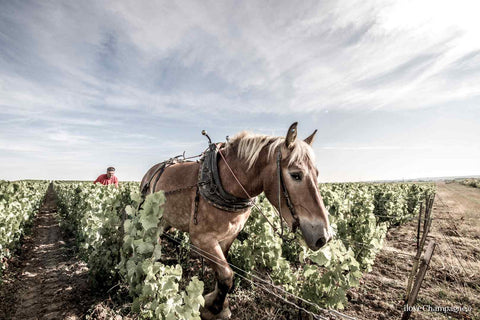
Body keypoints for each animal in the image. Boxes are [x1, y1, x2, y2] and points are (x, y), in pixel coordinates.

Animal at [141, 122, 332, 318]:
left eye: (317, 173)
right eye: (296, 175)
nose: (324, 236)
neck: (224, 183)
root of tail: (152, 171)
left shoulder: (228, 236)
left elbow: (221, 273)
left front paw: (219, 302)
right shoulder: (202, 239)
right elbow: (226, 275)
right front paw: (214, 307)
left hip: (165, 220)